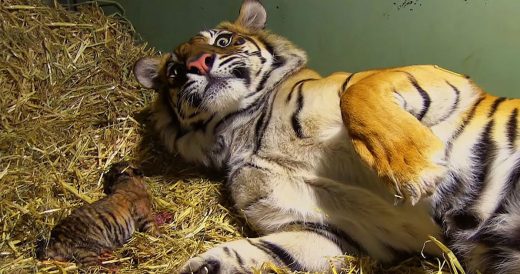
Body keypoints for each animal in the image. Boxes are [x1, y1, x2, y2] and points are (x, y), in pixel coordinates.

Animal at [133, 0, 520, 272]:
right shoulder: (343, 232)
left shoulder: (440, 78)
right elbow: (270, 251)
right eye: (175, 71)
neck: (242, 129)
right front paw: (206, 266)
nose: (197, 65)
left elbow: (358, 94)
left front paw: (415, 170)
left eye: (224, 40)